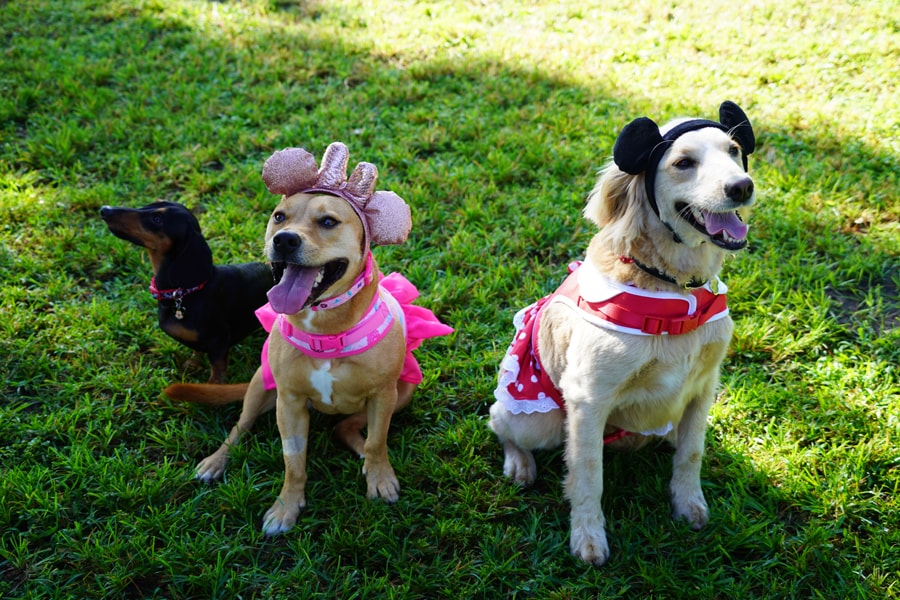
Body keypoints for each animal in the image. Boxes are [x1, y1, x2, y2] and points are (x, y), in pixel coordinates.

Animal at [488, 102, 756, 568]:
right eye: (683, 163)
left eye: (734, 150)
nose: (743, 187)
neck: (674, 287)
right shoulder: (588, 398)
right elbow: (587, 476)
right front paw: (588, 537)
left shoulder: (704, 387)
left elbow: (692, 453)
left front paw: (689, 504)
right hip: (538, 421)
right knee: (498, 421)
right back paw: (519, 465)